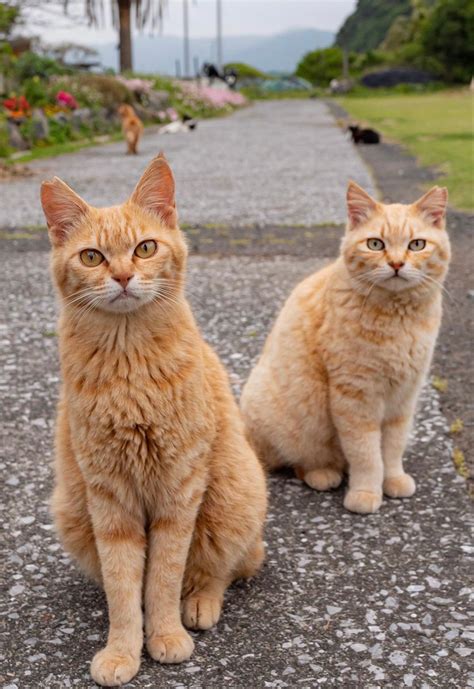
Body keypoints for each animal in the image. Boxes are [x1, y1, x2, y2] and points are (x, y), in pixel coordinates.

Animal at [40, 153, 266, 684]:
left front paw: (164, 634)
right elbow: (125, 585)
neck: (129, 370)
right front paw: (123, 650)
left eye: (144, 248)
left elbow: (162, 577)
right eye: (92, 257)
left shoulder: (178, 491)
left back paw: (200, 602)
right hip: (72, 510)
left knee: (223, 568)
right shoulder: (109, 498)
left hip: (233, 497)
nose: (123, 277)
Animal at [243, 180, 450, 512]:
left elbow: (392, 448)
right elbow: (366, 454)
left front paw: (393, 479)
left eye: (416, 245)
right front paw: (366, 492)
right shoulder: (355, 396)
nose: (396, 263)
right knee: (297, 462)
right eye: (375, 244)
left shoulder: (404, 396)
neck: (398, 319)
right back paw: (323, 474)